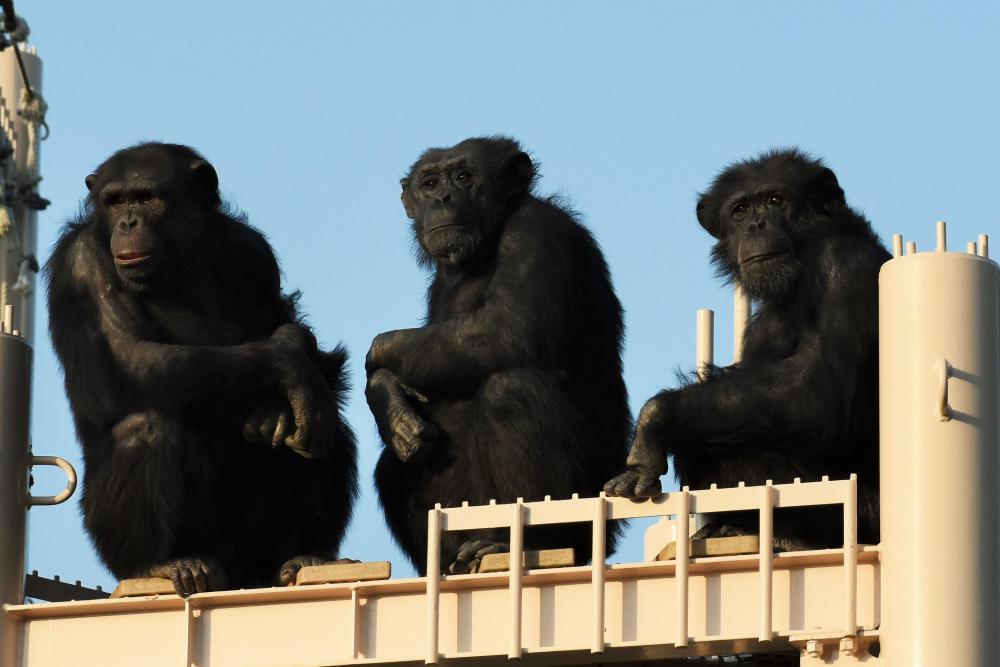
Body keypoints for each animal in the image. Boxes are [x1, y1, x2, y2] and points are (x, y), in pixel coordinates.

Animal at [47, 141, 360, 596]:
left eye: (147, 197)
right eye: (115, 200)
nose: (127, 221)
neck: (178, 258)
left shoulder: (253, 252)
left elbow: (285, 323)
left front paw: (278, 395)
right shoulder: (80, 264)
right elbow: (128, 356)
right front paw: (289, 361)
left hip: (254, 550)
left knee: (327, 428)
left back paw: (305, 556)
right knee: (146, 428)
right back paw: (164, 563)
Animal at [368, 136, 632, 576]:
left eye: (463, 176)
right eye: (429, 182)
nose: (442, 197)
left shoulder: (535, 234)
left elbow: (507, 332)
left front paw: (377, 366)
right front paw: (388, 400)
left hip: (591, 506)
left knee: (510, 391)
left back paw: (524, 543)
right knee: (392, 465)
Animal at [604, 150, 888, 548]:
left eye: (775, 200)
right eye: (740, 210)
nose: (756, 224)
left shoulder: (844, 268)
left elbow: (815, 386)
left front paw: (654, 423)